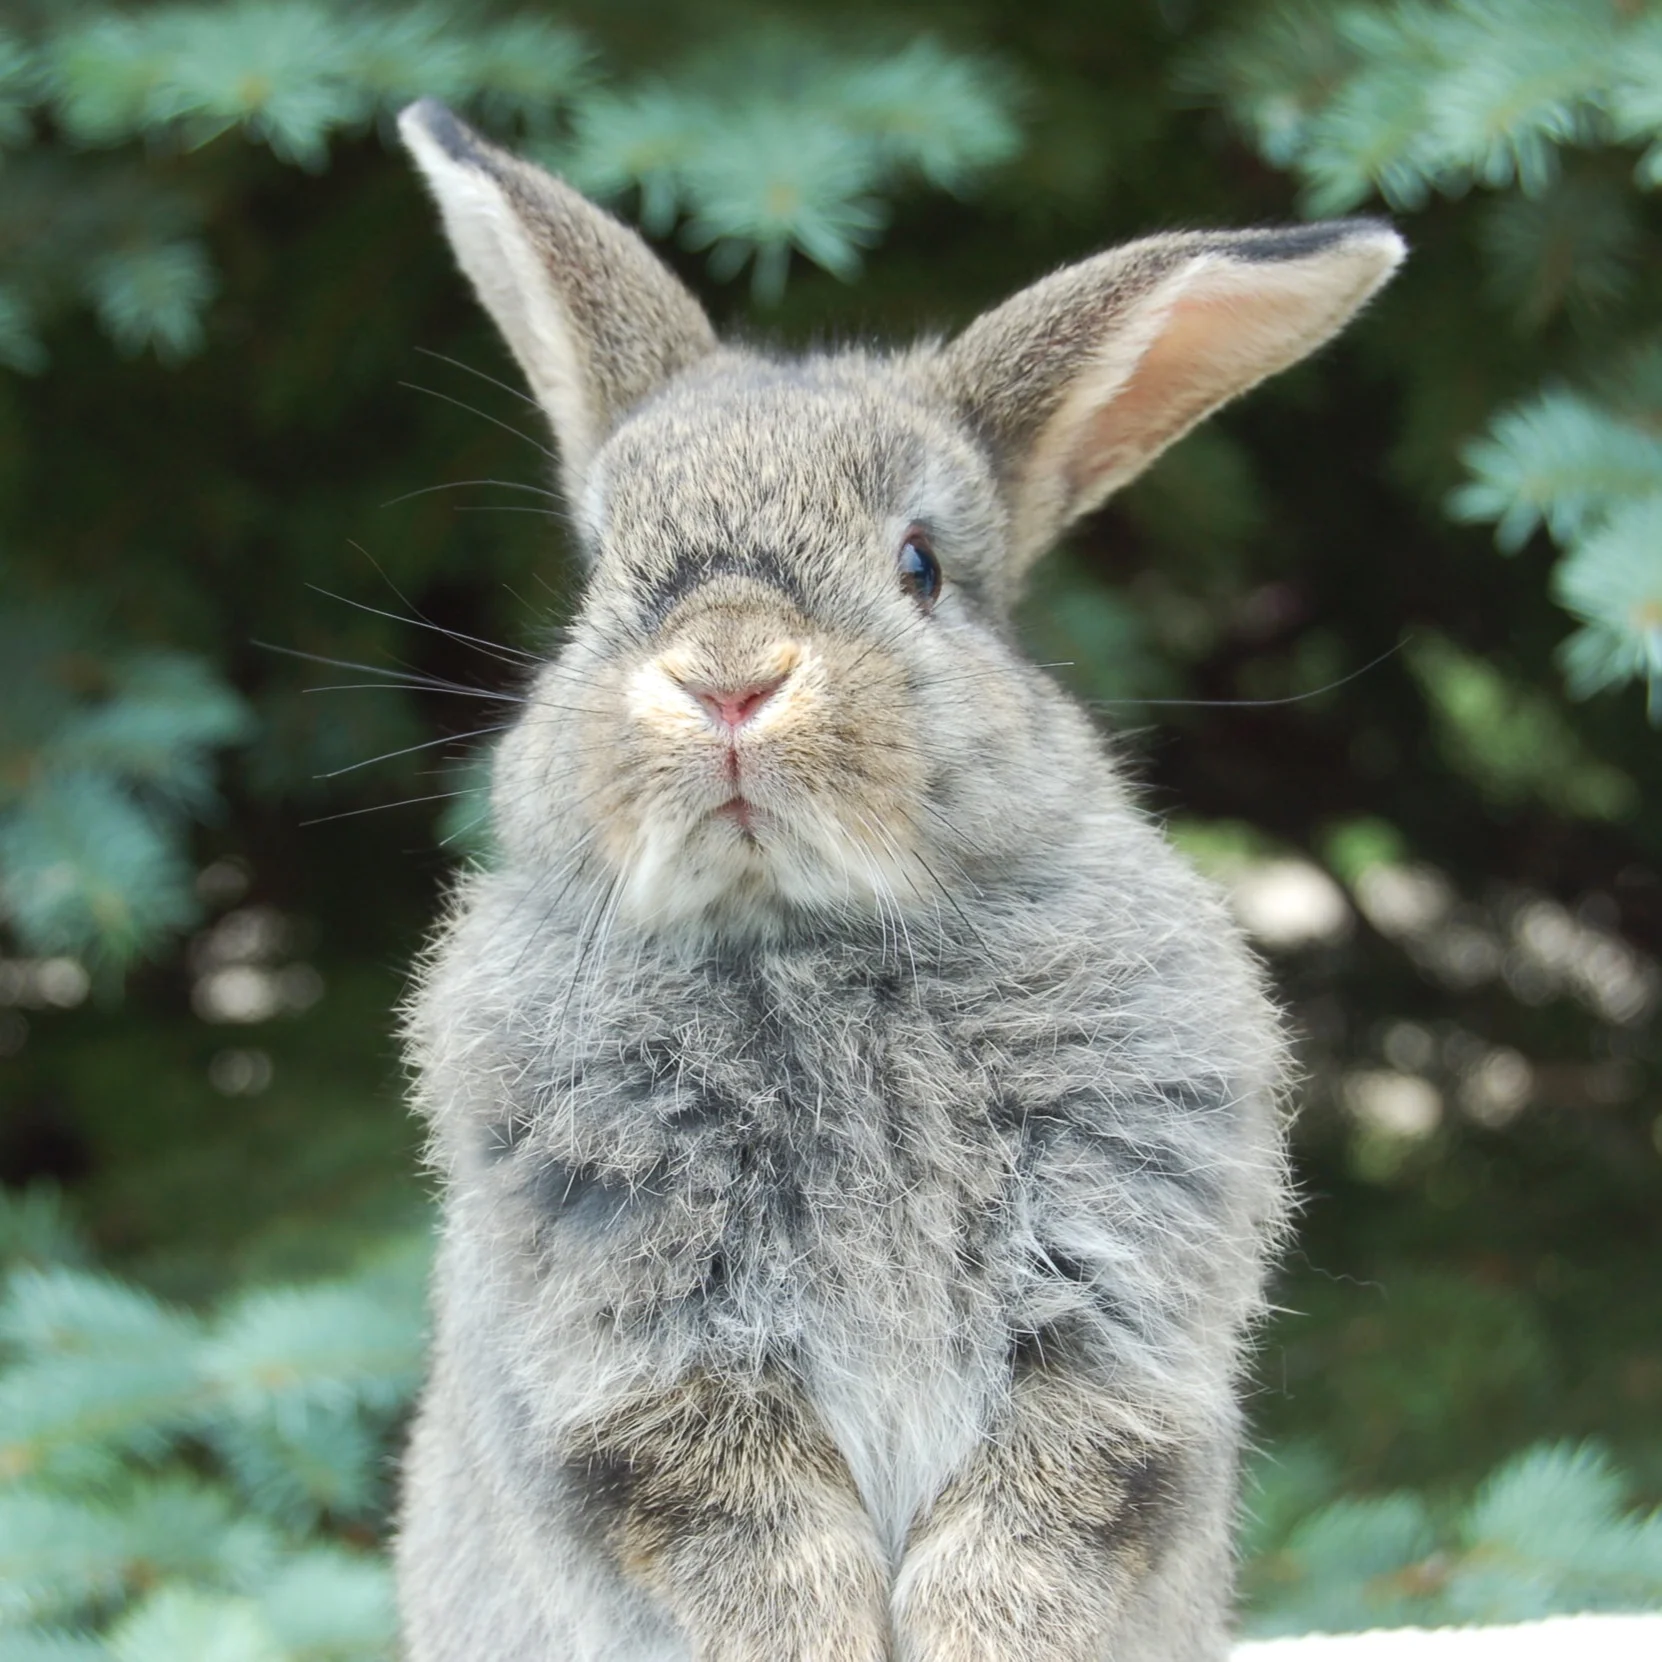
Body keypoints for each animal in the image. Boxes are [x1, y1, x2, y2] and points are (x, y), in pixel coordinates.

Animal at [393, 95, 1402, 1662]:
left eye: (920, 565)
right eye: (602, 569)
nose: (727, 673)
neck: (812, 937)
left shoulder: (1113, 1313)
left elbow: (1035, 1523)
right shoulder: (643, 1347)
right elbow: (755, 1543)